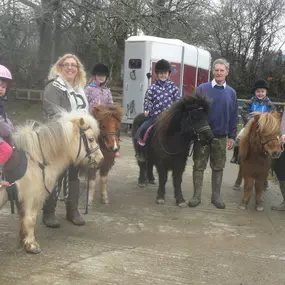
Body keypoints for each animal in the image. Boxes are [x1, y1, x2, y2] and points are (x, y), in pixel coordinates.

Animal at [0, 110, 103, 253]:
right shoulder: (32, 198)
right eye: (91, 139)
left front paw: (23, 241)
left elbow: (23, 219)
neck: (36, 159)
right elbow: (30, 219)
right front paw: (31, 245)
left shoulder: (22, 199)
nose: (101, 158)